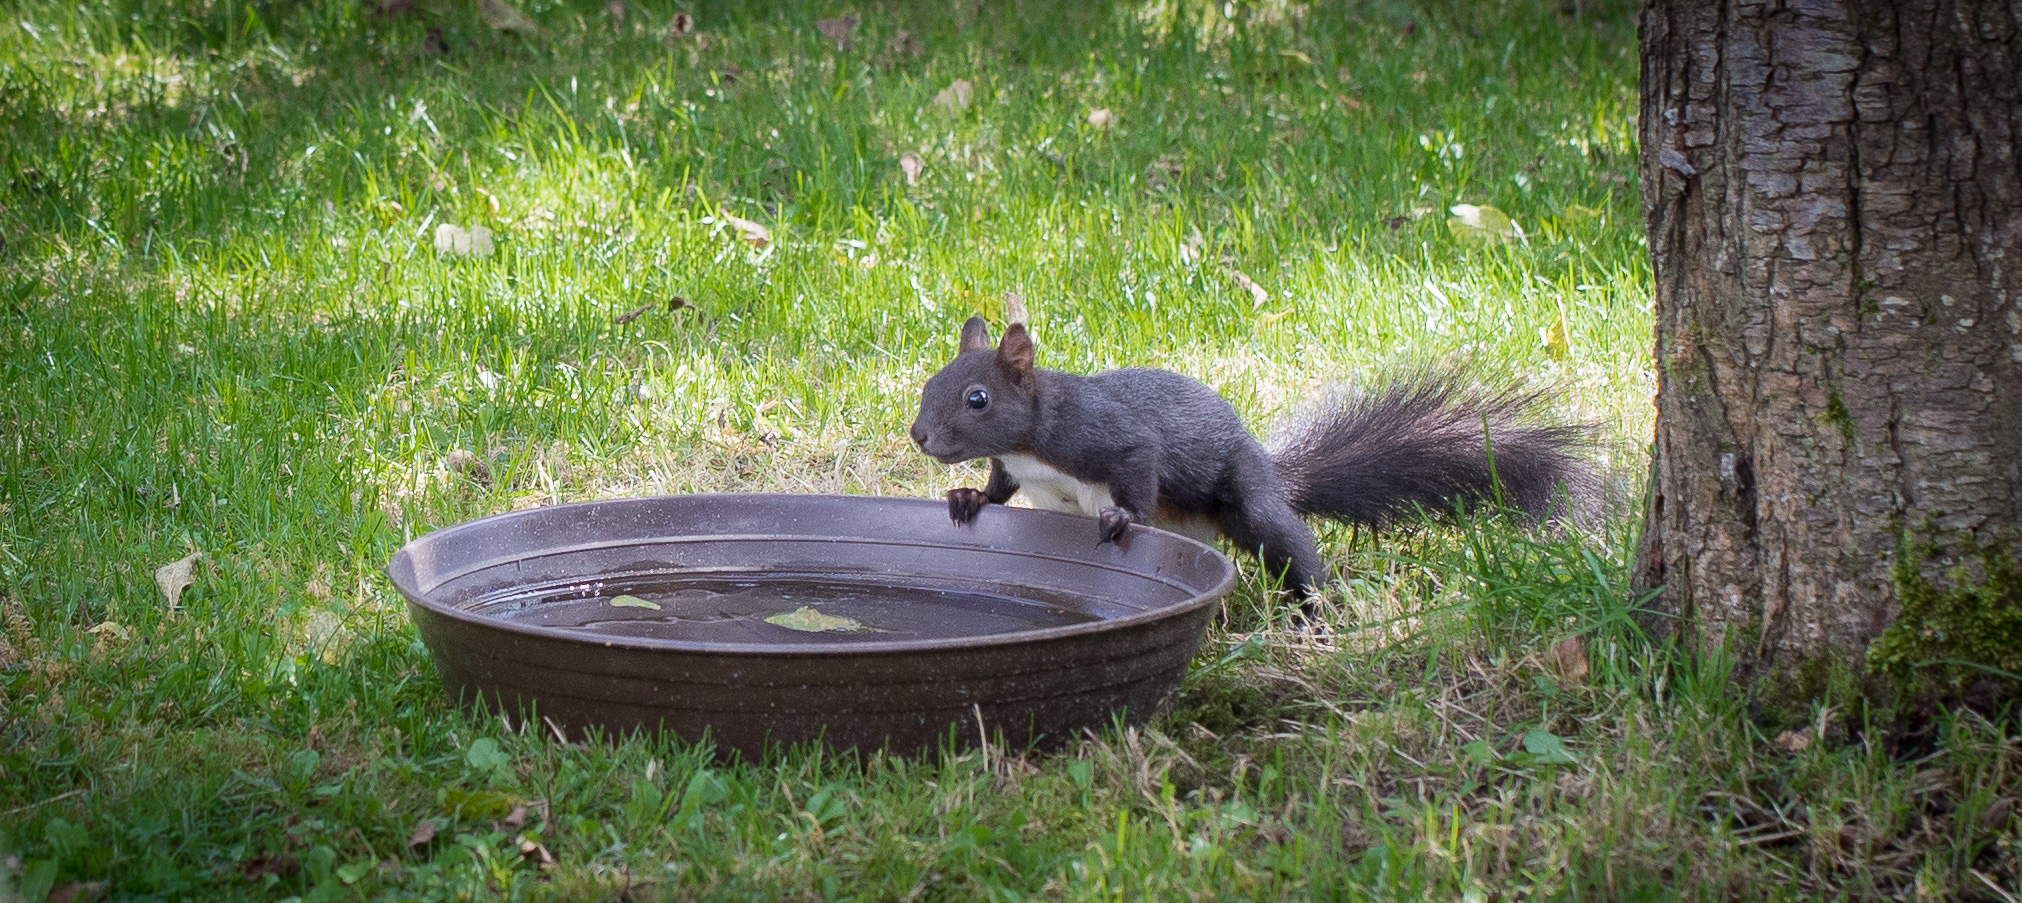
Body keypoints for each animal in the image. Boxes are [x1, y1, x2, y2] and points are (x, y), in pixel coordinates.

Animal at [909, 319, 1585, 602]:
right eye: (930, 382)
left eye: (977, 399)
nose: (919, 436)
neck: (1030, 444)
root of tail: (1273, 471)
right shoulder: (1015, 467)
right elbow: (998, 488)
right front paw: (969, 497)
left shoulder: (1106, 435)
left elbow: (1140, 466)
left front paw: (1125, 519)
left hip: (1249, 500)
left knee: (1289, 545)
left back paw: (1314, 615)